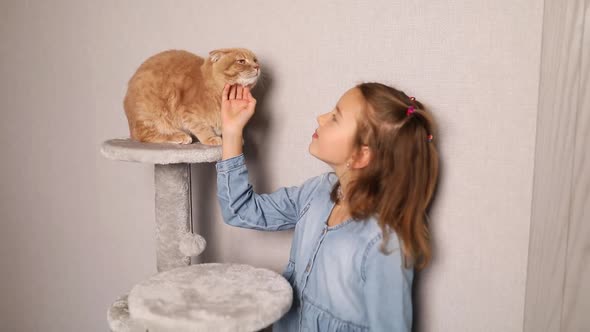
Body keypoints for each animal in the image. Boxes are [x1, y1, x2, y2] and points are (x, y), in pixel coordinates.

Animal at [123, 48, 260, 144]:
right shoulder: (187, 112)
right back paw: (179, 136)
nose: (257, 67)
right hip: (150, 114)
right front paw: (211, 138)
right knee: (144, 135)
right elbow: (201, 127)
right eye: (241, 61)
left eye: (255, 60)